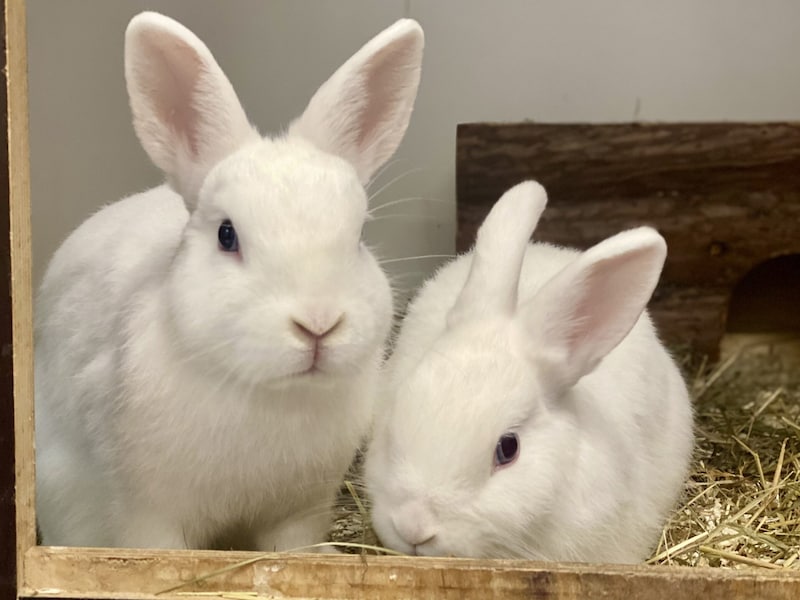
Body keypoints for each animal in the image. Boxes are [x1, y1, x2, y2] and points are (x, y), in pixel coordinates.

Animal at [36, 11, 424, 552]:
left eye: (360, 236)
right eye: (227, 235)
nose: (318, 324)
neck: (269, 395)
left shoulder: (300, 510)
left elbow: (295, 547)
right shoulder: (147, 514)